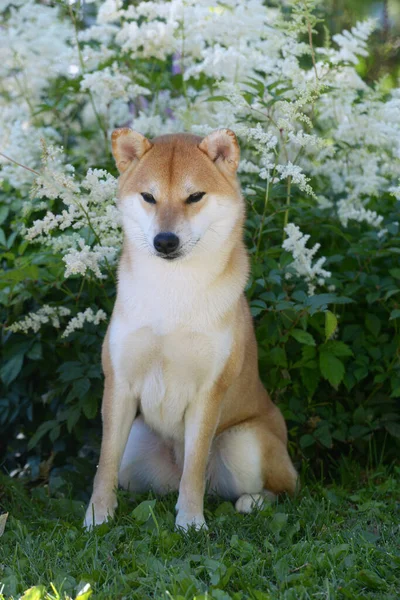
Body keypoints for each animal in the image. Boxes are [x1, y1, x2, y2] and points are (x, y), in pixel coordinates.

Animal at [83, 127, 296, 528]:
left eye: (194, 196)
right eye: (149, 197)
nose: (165, 241)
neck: (174, 292)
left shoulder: (209, 391)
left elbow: (194, 469)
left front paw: (191, 523)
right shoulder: (119, 383)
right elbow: (104, 465)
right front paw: (97, 518)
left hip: (245, 441)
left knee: (286, 488)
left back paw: (252, 502)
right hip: (137, 442)